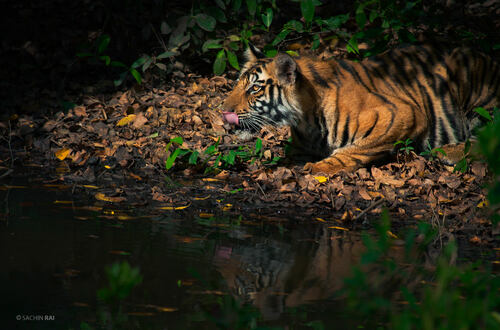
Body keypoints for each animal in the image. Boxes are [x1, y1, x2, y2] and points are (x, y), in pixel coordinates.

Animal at [223, 43, 500, 175]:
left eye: (255, 89)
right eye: (238, 84)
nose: (223, 110)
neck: (305, 118)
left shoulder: (403, 113)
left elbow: (356, 149)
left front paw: (319, 167)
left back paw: (447, 152)